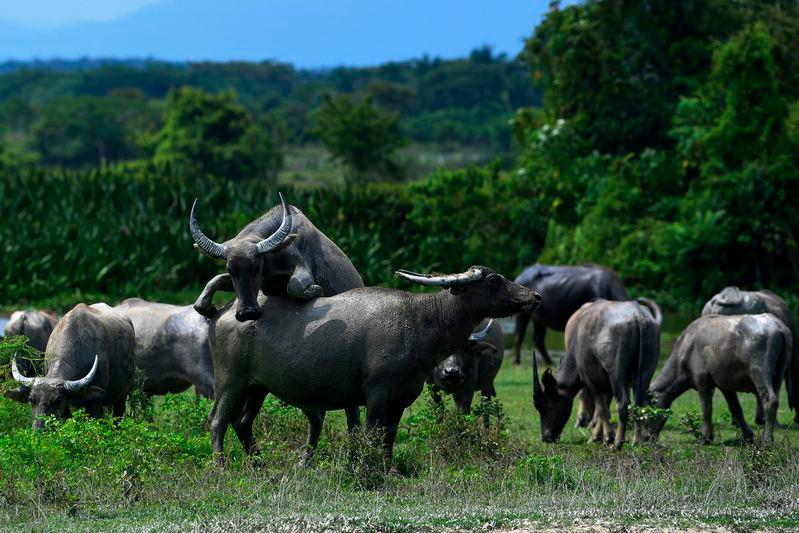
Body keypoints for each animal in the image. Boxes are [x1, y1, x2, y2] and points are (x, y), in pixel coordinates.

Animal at [5, 303, 136, 429]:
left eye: (58, 400)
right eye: (31, 399)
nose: (38, 429)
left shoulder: (95, 402)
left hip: (123, 394)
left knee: (118, 416)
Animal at [207, 266, 540, 466]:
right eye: (494, 280)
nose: (534, 296)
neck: (418, 321)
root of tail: (223, 312)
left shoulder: (402, 399)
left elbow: (389, 437)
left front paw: (388, 469)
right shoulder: (377, 395)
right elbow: (370, 434)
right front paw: (366, 468)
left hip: (257, 387)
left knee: (243, 422)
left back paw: (257, 461)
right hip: (229, 381)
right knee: (218, 421)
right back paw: (221, 465)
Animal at [533, 299, 660, 449]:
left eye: (544, 404)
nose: (546, 437)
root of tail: (638, 316)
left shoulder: (589, 379)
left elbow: (600, 407)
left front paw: (606, 437)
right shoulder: (606, 384)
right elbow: (604, 406)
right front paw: (598, 436)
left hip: (616, 373)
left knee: (623, 402)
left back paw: (617, 443)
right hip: (646, 370)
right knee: (643, 404)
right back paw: (637, 440)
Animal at [637, 314, 791, 444]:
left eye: (645, 413)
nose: (641, 439)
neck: (685, 349)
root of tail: (778, 326)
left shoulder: (702, 381)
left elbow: (706, 409)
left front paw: (705, 437)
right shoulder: (724, 385)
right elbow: (735, 409)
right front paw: (748, 435)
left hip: (759, 371)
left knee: (769, 400)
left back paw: (767, 439)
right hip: (779, 373)